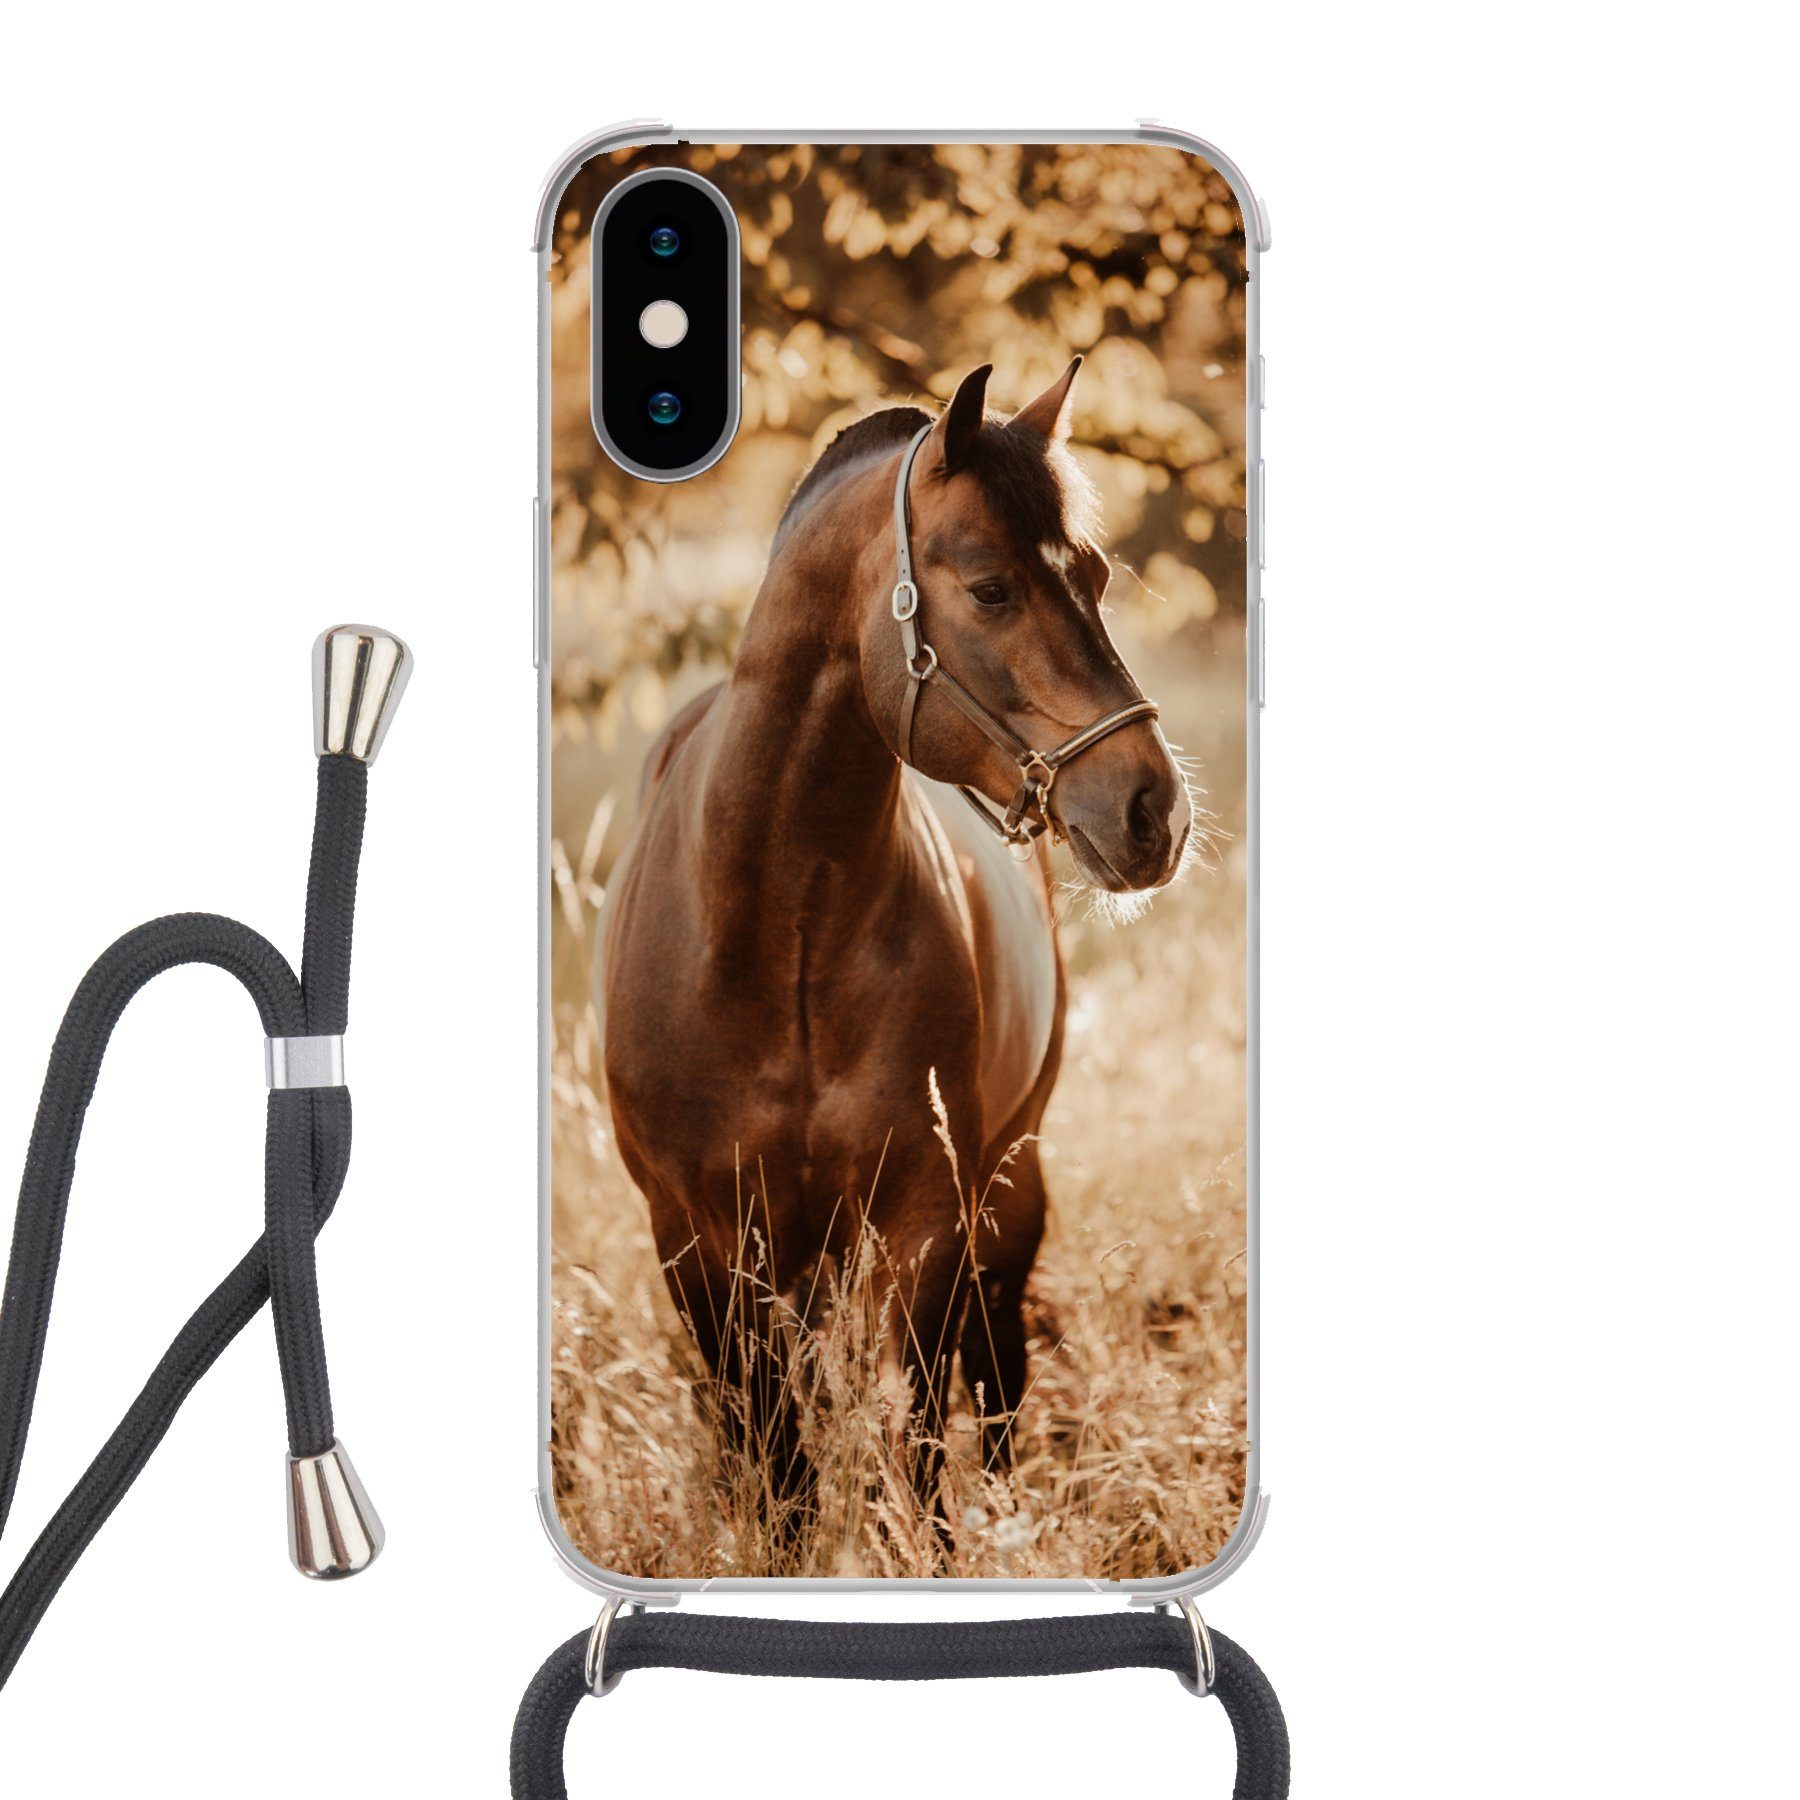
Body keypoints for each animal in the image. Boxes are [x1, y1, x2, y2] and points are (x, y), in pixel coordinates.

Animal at [599, 358, 1192, 1542]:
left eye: (1096, 574)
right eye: (993, 589)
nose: (1157, 811)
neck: (773, 932)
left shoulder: (923, 1224)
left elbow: (914, 1452)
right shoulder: (699, 1241)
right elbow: (778, 1468)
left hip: (1006, 1192)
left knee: (996, 1381)